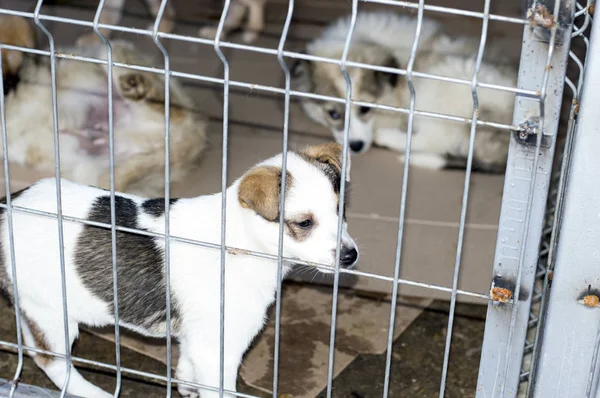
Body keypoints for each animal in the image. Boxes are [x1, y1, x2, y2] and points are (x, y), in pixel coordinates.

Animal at [0, 143, 356, 398]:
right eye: (305, 223)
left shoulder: (199, 339)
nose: (351, 256)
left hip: (32, 305)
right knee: (52, 362)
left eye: (341, 211)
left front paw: (186, 385)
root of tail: (8, 206)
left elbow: (186, 364)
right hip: (52, 311)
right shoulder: (220, 349)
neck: (241, 240)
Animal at [292, 12, 516, 171]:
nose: (356, 146)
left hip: (440, 81)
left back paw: (388, 138)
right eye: (333, 114)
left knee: (435, 140)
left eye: (365, 109)